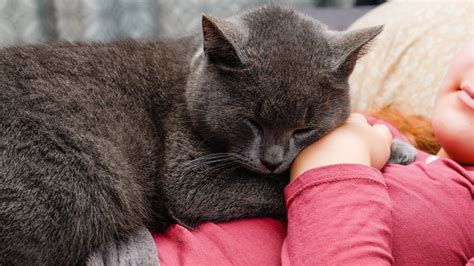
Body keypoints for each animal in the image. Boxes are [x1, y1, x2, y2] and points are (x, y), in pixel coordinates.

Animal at [0, 5, 414, 264]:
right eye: (252, 122)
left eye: (304, 128)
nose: (273, 159)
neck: (188, 77)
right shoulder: (188, 180)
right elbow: (275, 187)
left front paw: (399, 147)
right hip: (80, 187)